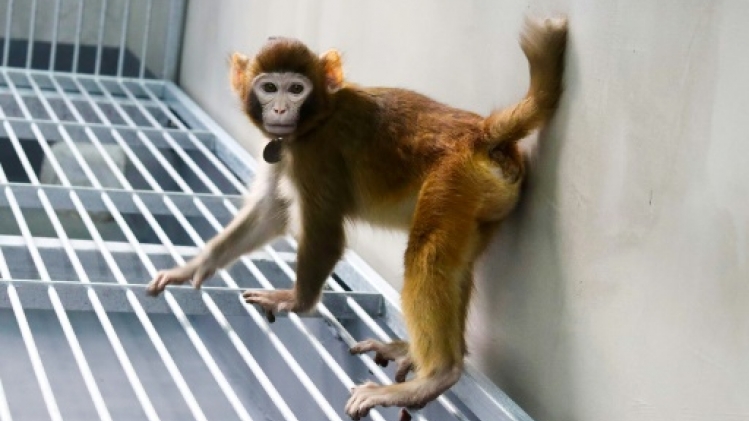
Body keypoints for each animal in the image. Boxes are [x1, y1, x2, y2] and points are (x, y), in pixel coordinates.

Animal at [147, 16, 567, 420]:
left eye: (295, 89)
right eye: (268, 87)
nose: (280, 110)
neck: (318, 117)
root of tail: (481, 133)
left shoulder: (317, 153)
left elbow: (325, 235)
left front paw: (297, 301)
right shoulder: (286, 149)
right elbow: (270, 211)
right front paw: (194, 267)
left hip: (453, 180)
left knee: (427, 257)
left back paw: (436, 375)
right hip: (480, 201)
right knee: (453, 265)